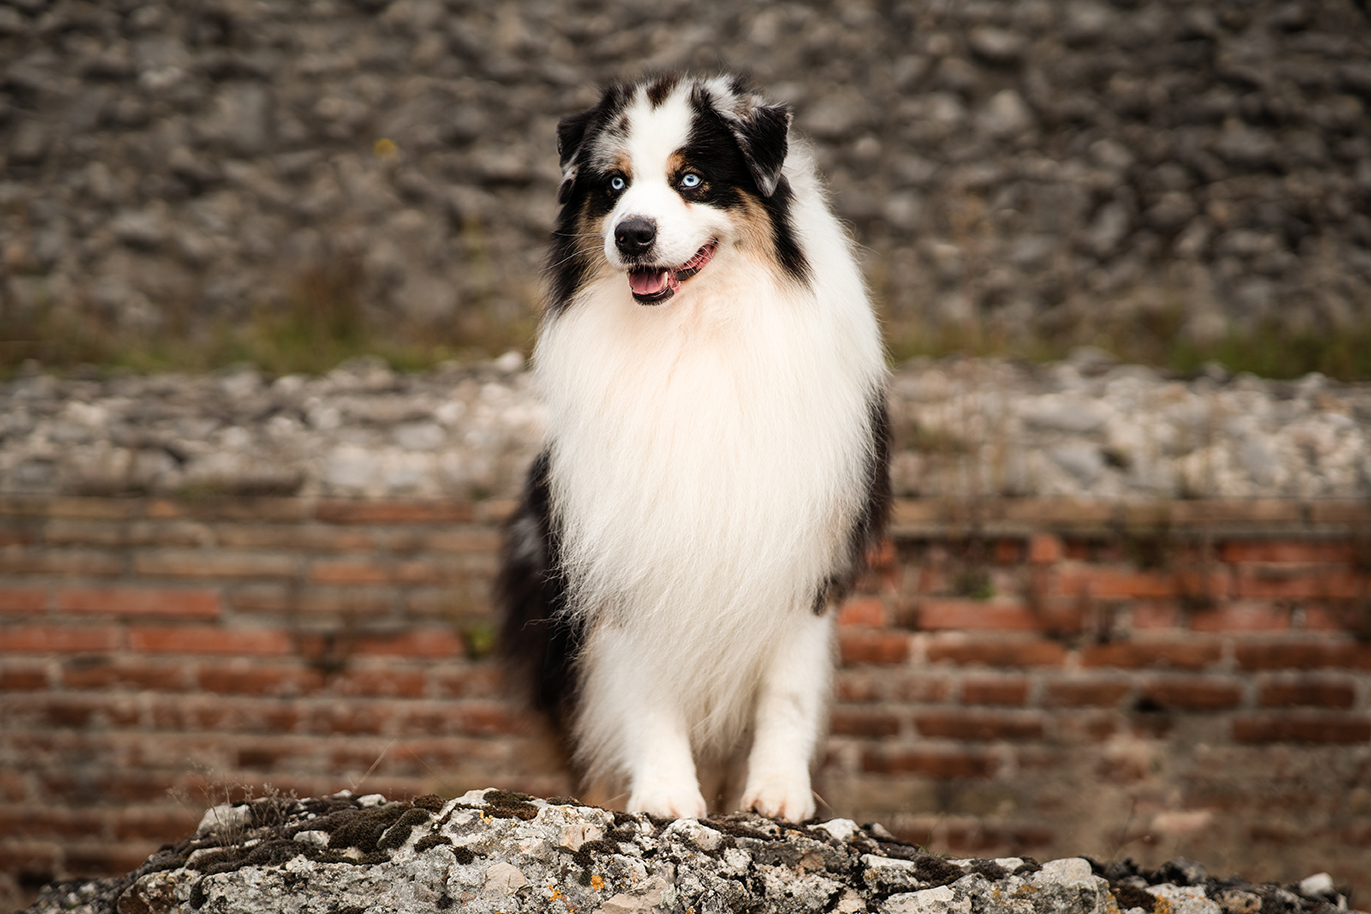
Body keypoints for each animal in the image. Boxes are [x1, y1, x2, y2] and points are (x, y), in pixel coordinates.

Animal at [499, 73, 893, 822]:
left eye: (691, 180)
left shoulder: (807, 549)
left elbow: (787, 690)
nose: (632, 234)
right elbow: (647, 690)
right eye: (614, 184)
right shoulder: (627, 553)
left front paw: (777, 793)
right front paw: (663, 794)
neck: (691, 333)